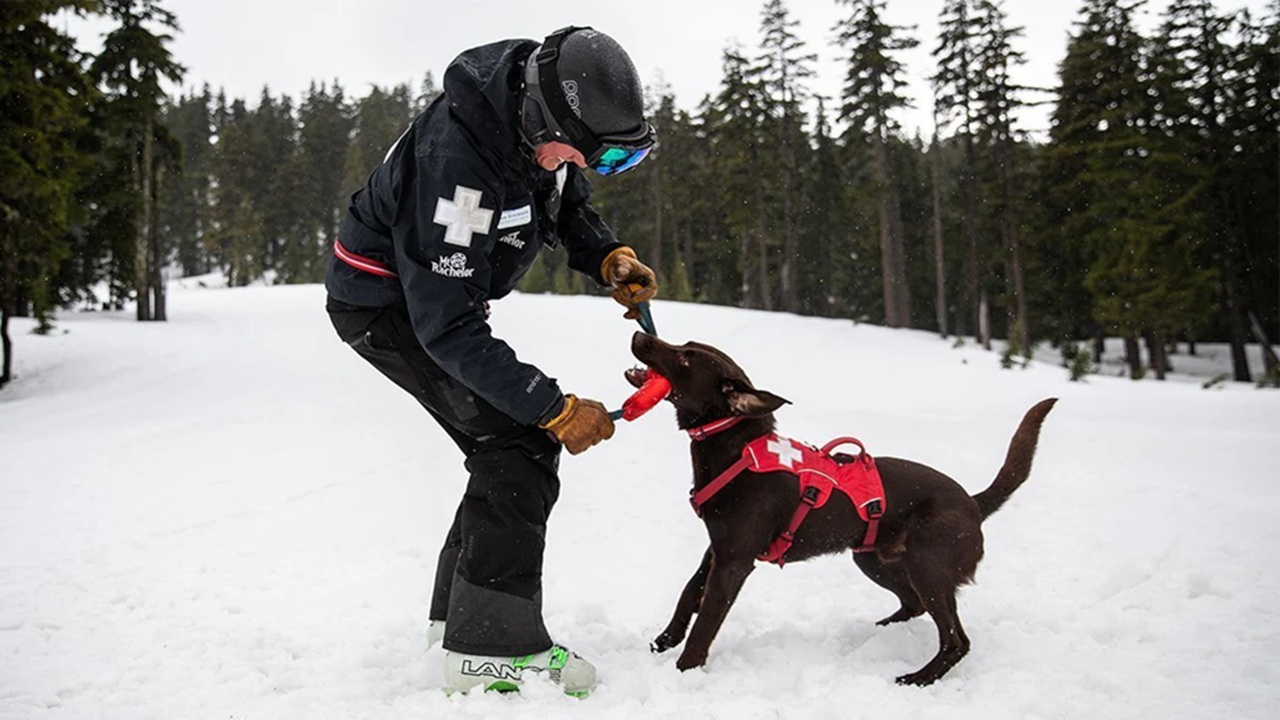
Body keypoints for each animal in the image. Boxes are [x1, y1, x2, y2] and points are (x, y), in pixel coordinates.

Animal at [629, 330, 1059, 681]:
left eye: (686, 358)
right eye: (684, 346)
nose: (638, 334)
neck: (737, 450)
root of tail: (972, 501)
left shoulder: (734, 560)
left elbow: (707, 620)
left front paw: (684, 671)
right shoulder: (715, 548)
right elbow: (689, 593)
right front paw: (664, 641)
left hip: (929, 566)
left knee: (955, 639)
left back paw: (918, 678)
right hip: (872, 559)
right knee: (913, 604)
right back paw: (877, 633)